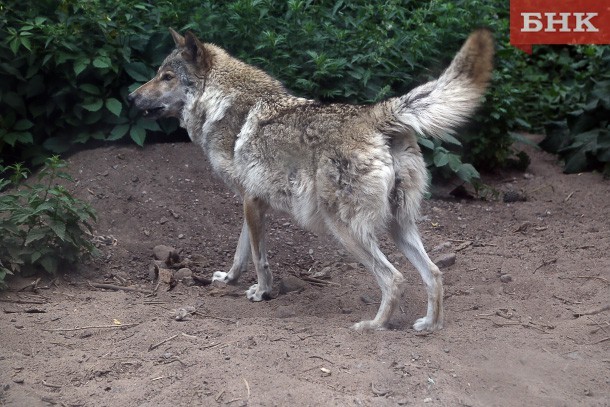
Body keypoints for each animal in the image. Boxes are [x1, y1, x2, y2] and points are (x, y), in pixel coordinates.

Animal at [128, 27, 494, 332]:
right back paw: (429, 325)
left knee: (395, 279)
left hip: (346, 230)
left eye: (166, 77)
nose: (131, 98)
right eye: (157, 75)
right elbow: (241, 252)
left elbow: (259, 259)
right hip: (398, 226)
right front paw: (229, 279)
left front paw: (262, 293)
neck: (220, 104)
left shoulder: (252, 202)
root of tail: (375, 113)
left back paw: (373, 327)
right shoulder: (250, 203)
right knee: (434, 273)